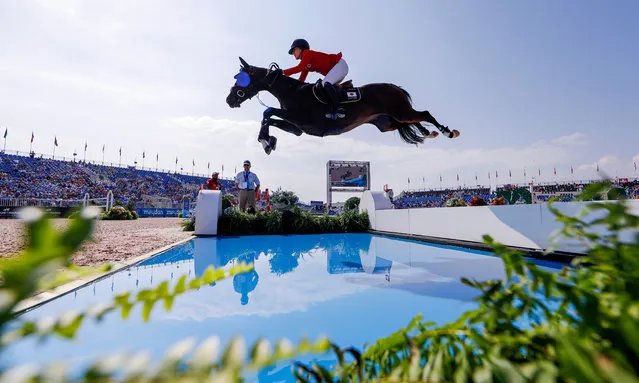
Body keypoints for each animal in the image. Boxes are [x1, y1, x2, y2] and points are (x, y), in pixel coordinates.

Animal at [225, 56, 460, 154]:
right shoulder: (297, 128)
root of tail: (395, 87)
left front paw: (265, 141)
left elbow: (268, 111)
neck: (291, 92)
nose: (229, 100)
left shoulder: (299, 119)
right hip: (389, 122)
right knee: (414, 119)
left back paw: (447, 132)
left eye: (240, 79)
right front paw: (267, 141)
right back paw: (429, 133)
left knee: (425, 113)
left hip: (399, 111)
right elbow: (270, 117)